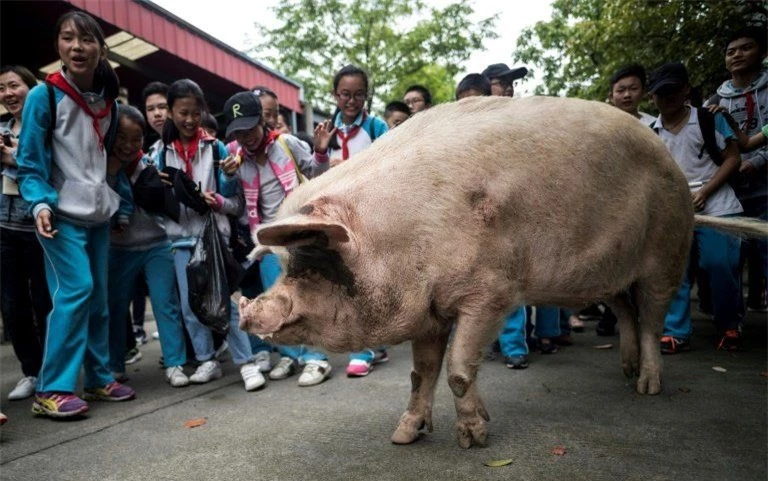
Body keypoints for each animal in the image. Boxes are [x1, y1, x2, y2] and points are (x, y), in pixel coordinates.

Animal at [242, 95, 760, 448]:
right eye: (289, 263)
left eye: (317, 261)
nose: (251, 311)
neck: (401, 239)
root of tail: (673, 165)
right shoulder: (428, 309)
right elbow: (420, 374)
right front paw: (404, 436)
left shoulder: (491, 292)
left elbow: (456, 369)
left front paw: (474, 439)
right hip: (607, 270)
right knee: (625, 310)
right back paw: (626, 370)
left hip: (665, 250)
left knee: (652, 317)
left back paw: (647, 387)